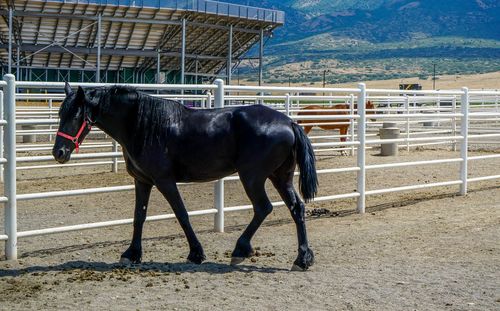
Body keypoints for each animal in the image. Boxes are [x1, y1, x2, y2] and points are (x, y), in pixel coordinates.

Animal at [52, 84, 318, 272]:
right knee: (297, 208)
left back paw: (240, 250)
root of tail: (289, 122)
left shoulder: (165, 181)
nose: (59, 153)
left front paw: (196, 253)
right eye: (60, 113)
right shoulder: (143, 181)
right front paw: (131, 254)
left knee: (263, 208)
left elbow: (181, 214)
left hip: (253, 177)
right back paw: (302, 259)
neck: (143, 126)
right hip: (280, 177)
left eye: (75, 115)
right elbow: (139, 217)